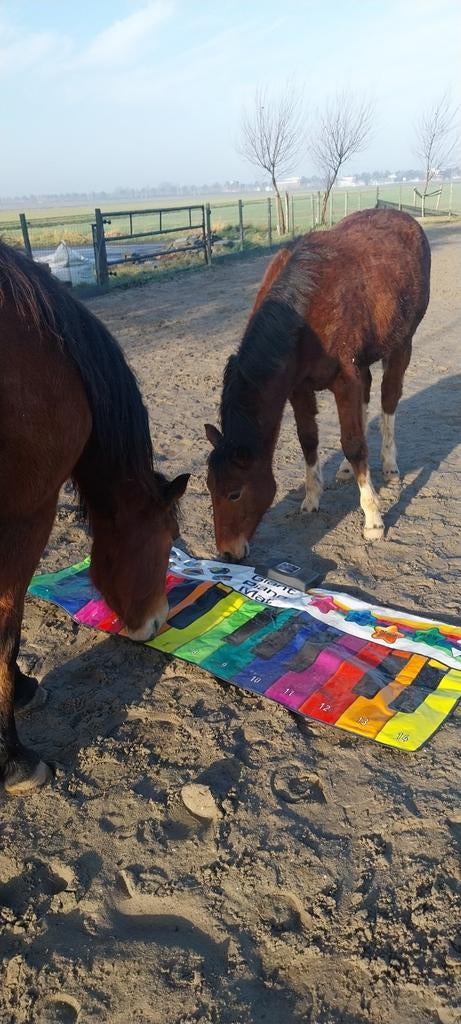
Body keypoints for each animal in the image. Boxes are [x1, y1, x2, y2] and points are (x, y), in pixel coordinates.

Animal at [205, 208, 431, 560]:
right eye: (209, 489)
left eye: (235, 493)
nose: (227, 554)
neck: (304, 309)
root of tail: (405, 217)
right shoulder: (299, 387)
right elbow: (309, 440)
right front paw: (311, 499)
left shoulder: (344, 379)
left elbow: (353, 443)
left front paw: (373, 520)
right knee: (367, 396)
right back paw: (348, 469)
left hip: (401, 344)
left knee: (389, 399)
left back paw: (389, 464)